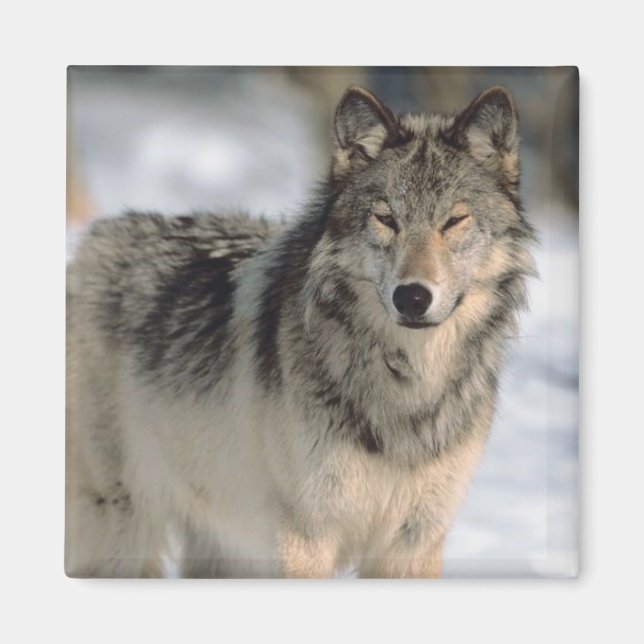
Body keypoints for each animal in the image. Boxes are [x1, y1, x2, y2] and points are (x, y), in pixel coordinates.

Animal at [66, 84, 536, 578]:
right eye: (387, 220)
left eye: (453, 221)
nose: (412, 297)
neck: (408, 384)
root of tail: (95, 239)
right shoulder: (305, 537)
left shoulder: (412, 546)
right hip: (124, 528)